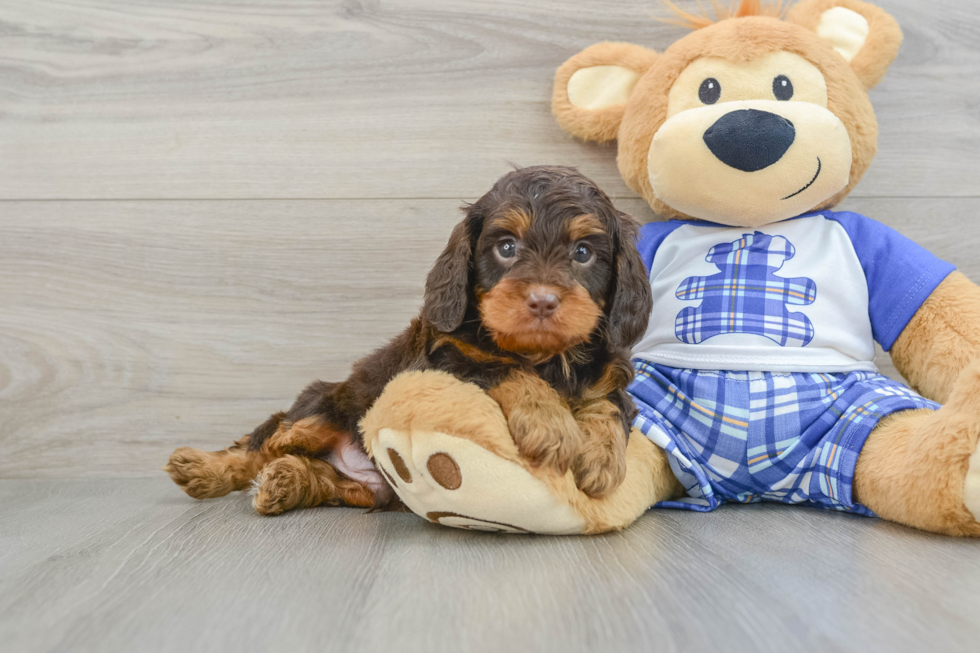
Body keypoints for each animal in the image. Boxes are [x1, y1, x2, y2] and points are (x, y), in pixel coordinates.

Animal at [165, 167, 656, 516]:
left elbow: (610, 406)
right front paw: (551, 424)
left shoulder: (612, 377)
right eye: (507, 248)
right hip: (323, 405)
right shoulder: (443, 358)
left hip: (365, 490)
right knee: (263, 439)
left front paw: (600, 460)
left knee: (316, 474)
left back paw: (285, 482)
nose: (542, 300)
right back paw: (207, 469)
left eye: (583, 253)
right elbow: (501, 366)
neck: (544, 356)